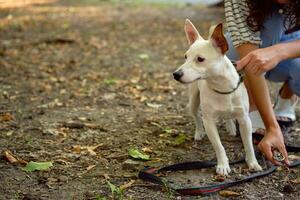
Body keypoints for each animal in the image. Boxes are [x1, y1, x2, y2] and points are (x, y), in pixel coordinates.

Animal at [172, 19, 262, 175]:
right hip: (194, 100)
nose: (176, 74)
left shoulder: (245, 120)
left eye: (200, 59)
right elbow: (219, 146)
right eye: (185, 57)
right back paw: (199, 132)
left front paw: (252, 162)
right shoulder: (209, 123)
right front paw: (223, 165)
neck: (222, 88)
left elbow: (249, 144)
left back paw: (230, 127)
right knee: (196, 115)